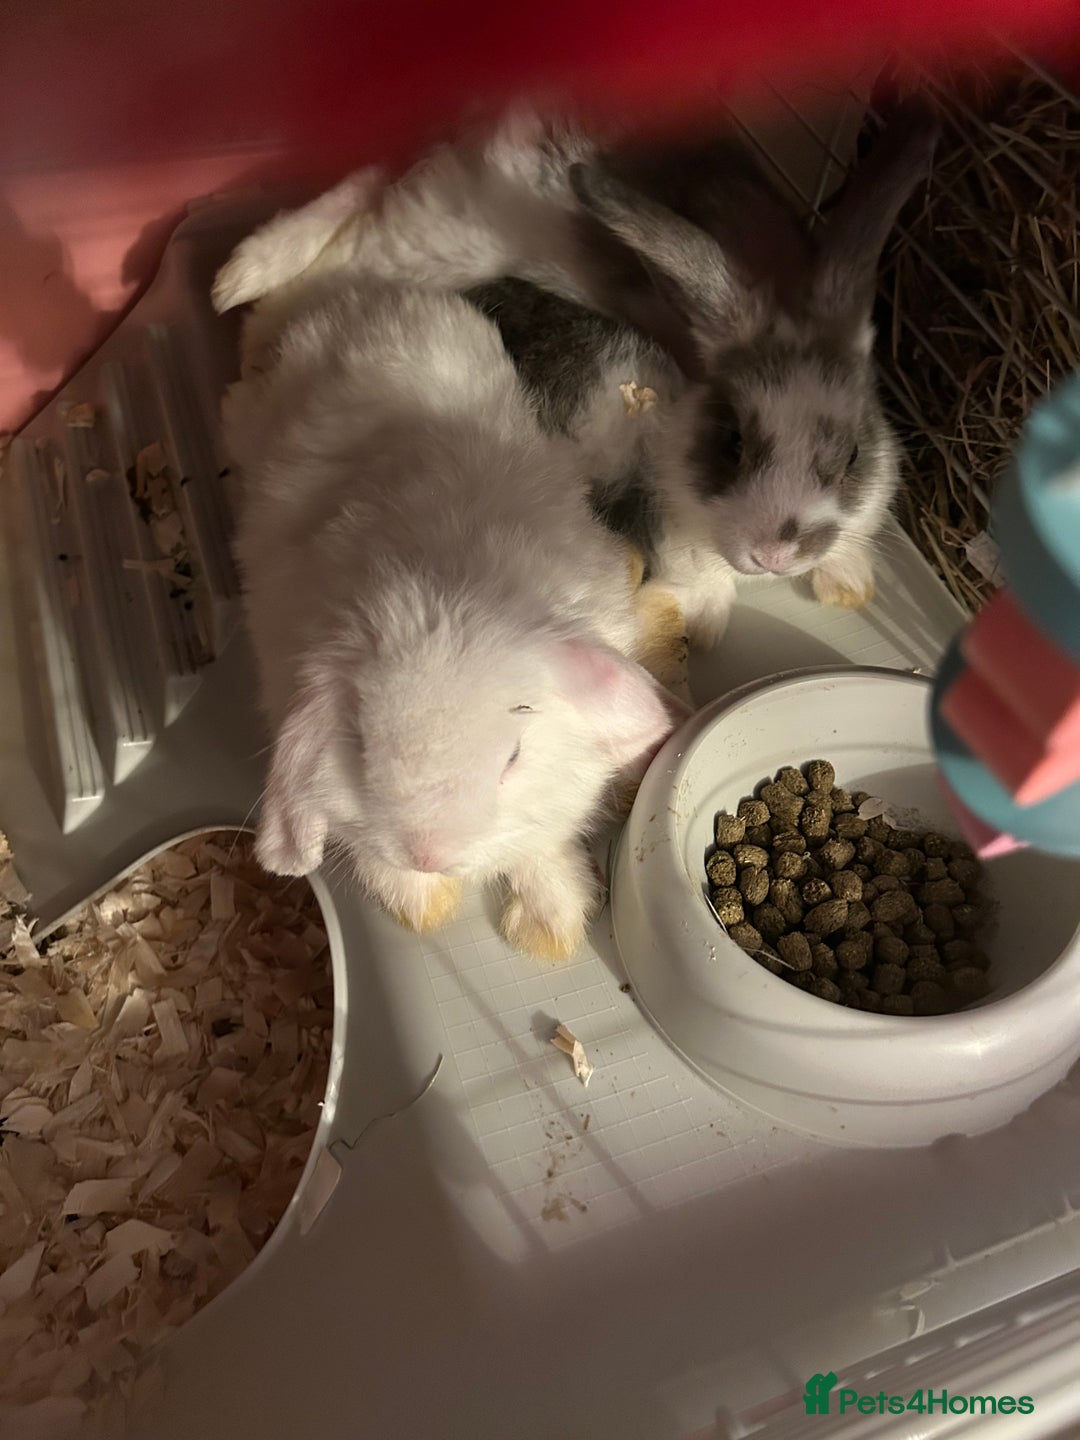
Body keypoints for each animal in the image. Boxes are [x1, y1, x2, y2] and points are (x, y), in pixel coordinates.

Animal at [214, 101, 938, 650]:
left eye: (852, 455)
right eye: (732, 443)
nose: (777, 555)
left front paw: (848, 584)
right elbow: (697, 578)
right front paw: (705, 626)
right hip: (417, 249)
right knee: (325, 252)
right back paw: (240, 295)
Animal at [218, 258, 686, 963]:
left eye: (514, 755)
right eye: (361, 749)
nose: (429, 852)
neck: (440, 596)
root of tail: (357, 294)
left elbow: (541, 846)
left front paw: (549, 927)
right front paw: (424, 904)